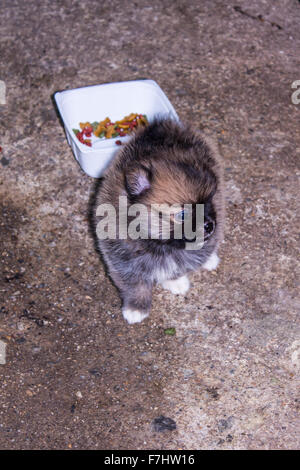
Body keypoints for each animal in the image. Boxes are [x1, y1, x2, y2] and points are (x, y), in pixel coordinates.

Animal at [95, 117, 224, 324]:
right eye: (182, 215)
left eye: (208, 202)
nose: (209, 225)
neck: (161, 245)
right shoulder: (123, 259)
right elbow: (136, 283)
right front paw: (136, 308)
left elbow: (177, 266)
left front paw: (176, 281)